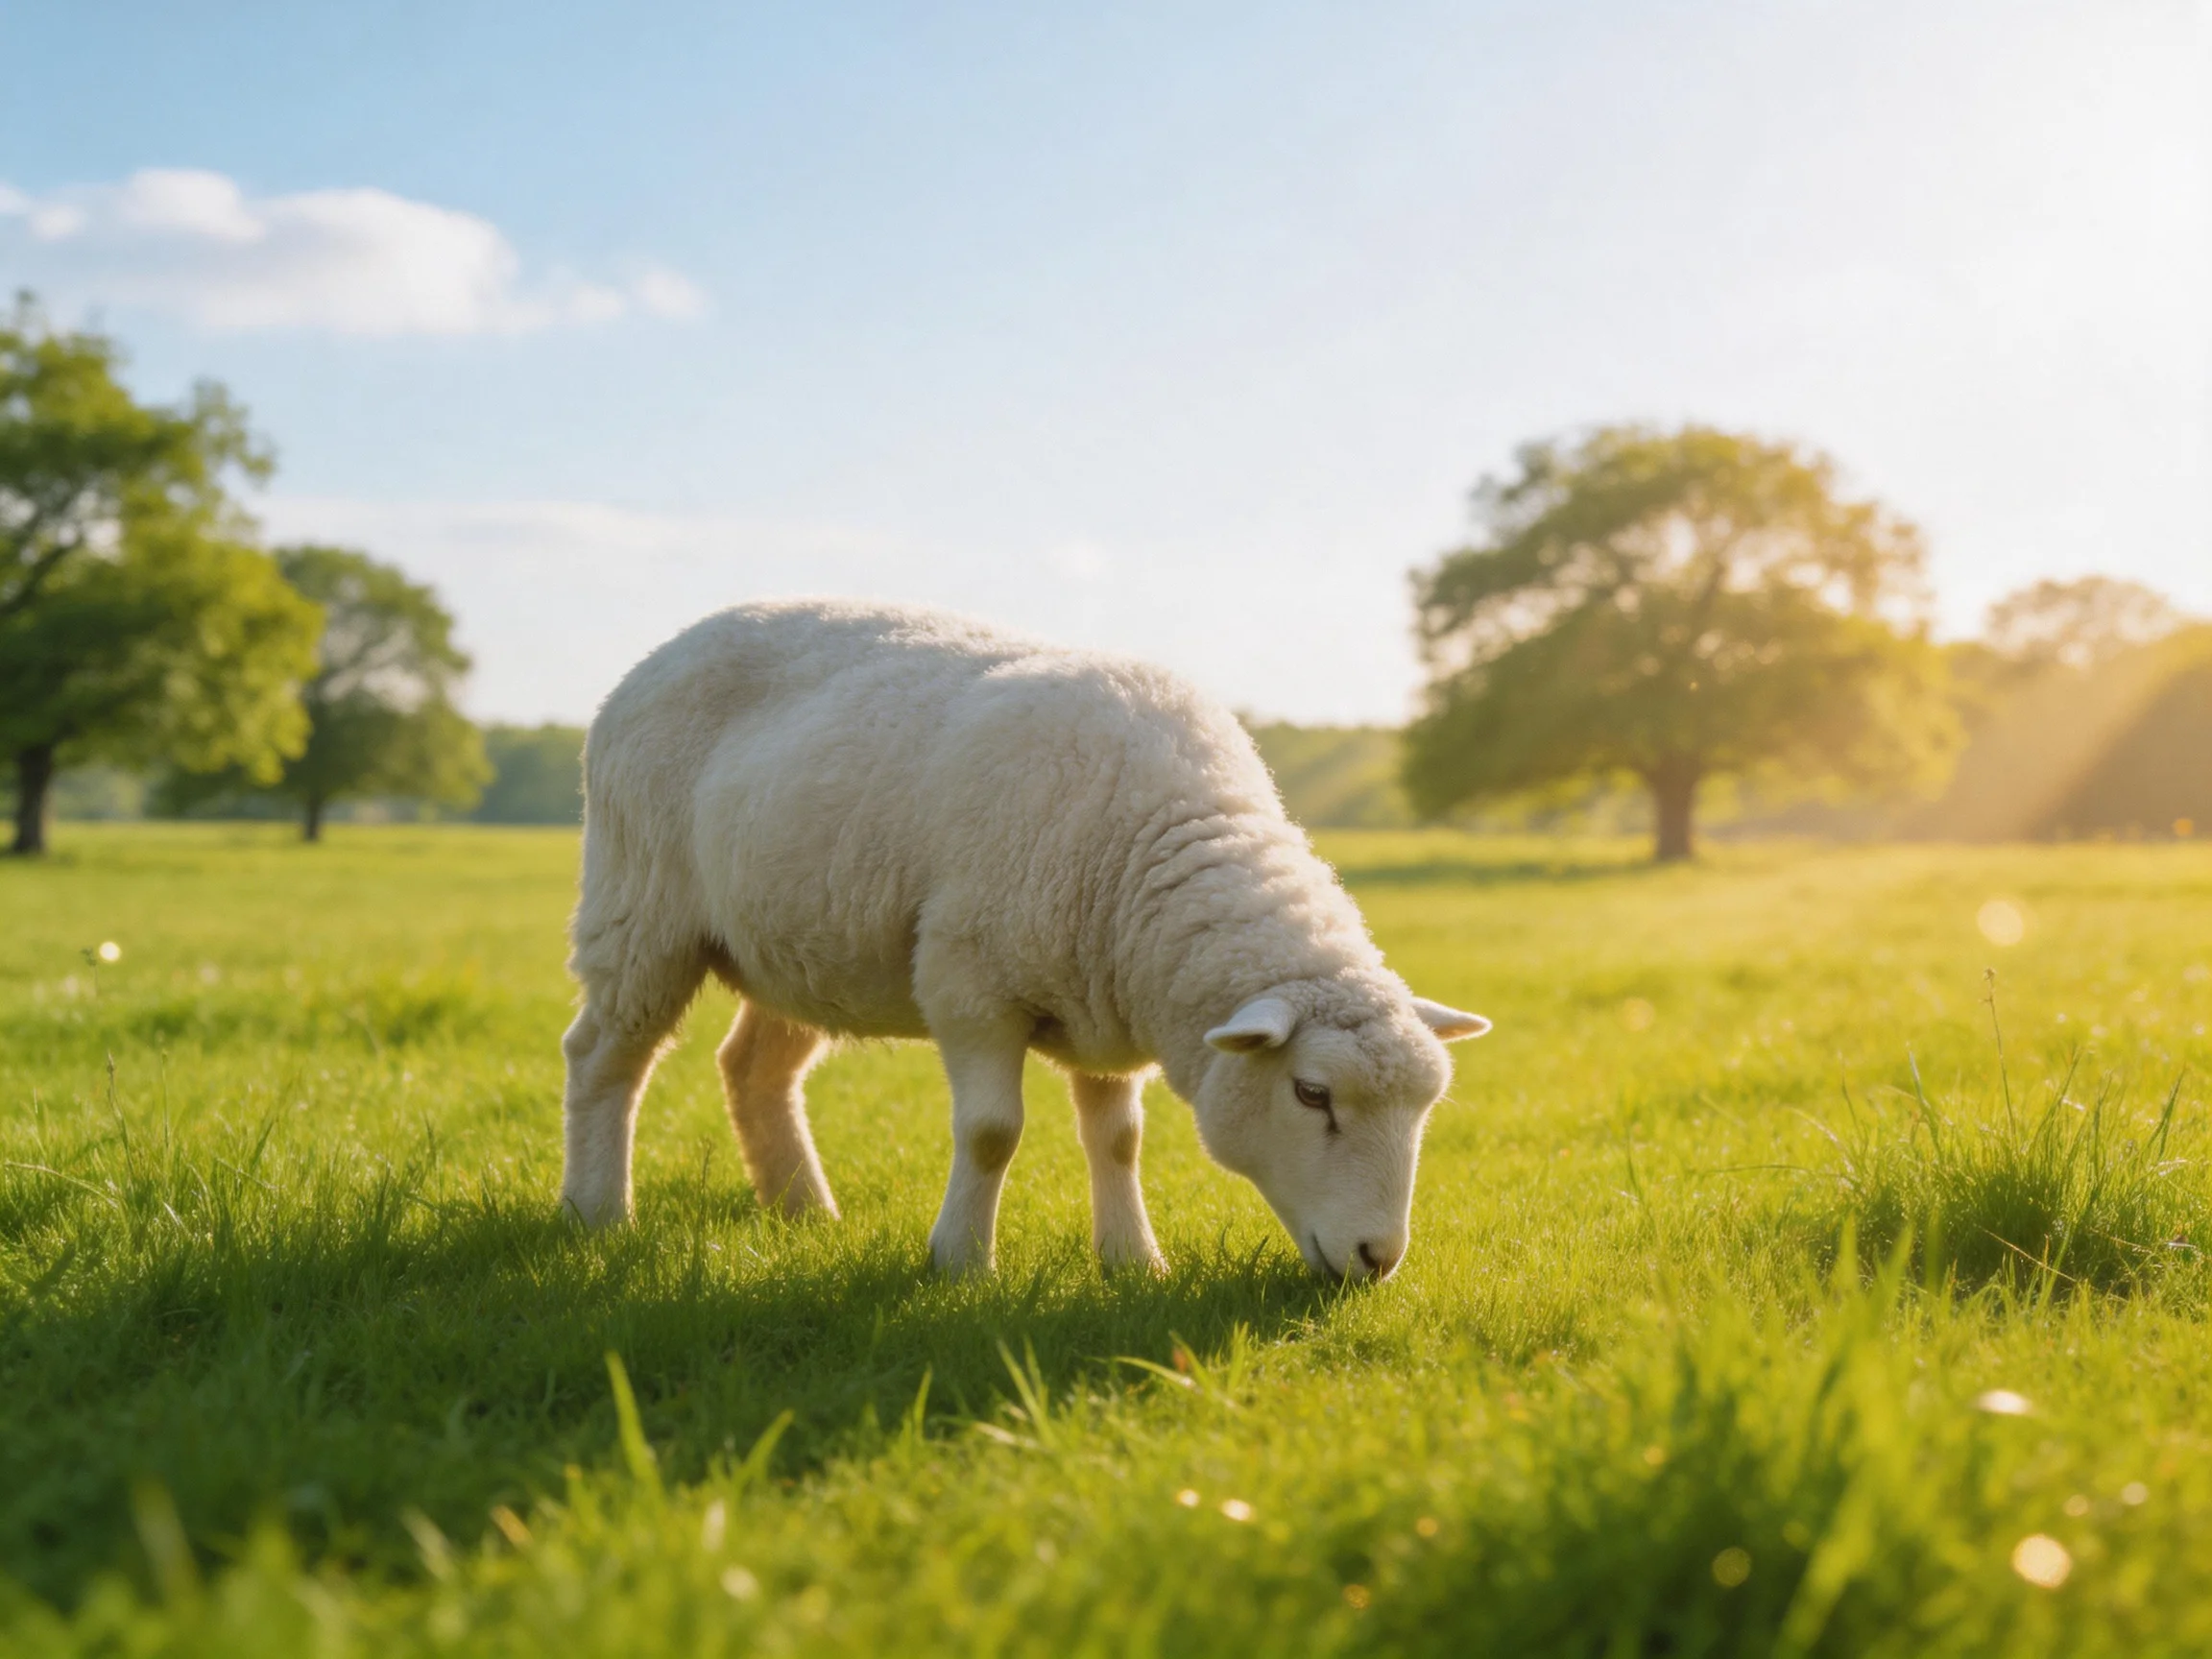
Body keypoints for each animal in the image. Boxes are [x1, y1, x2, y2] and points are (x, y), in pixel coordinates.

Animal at [558, 599, 1490, 1278]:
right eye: (1311, 1094)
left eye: (1425, 1108)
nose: (1379, 1259)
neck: (1154, 845)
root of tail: (661, 652)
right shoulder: (969, 984)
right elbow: (991, 1133)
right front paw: (962, 1262)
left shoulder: (1105, 1006)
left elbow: (1118, 1139)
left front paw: (1132, 1261)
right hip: (640, 904)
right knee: (603, 1054)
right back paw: (596, 1211)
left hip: (801, 939)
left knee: (754, 1068)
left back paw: (803, 1210)